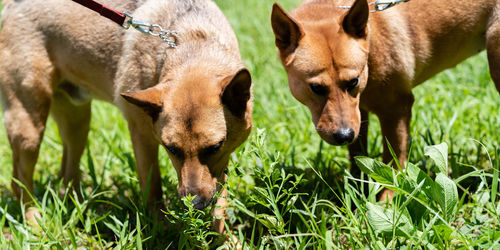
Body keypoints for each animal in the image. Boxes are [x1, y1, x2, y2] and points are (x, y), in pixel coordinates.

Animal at [0, 0, 250, 232]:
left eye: (215, 147)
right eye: (171, 149)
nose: (194, 204)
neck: (193, 42)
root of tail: (12, 5)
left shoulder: (223, 157)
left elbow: (221, 203)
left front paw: (223, 238)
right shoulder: (142, 135)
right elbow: (153, 187)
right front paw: (161, 232)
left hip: (77, 122)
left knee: (66, 173)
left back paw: (79, 209)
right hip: (29, 129)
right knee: (19, 180)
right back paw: (34, 220)